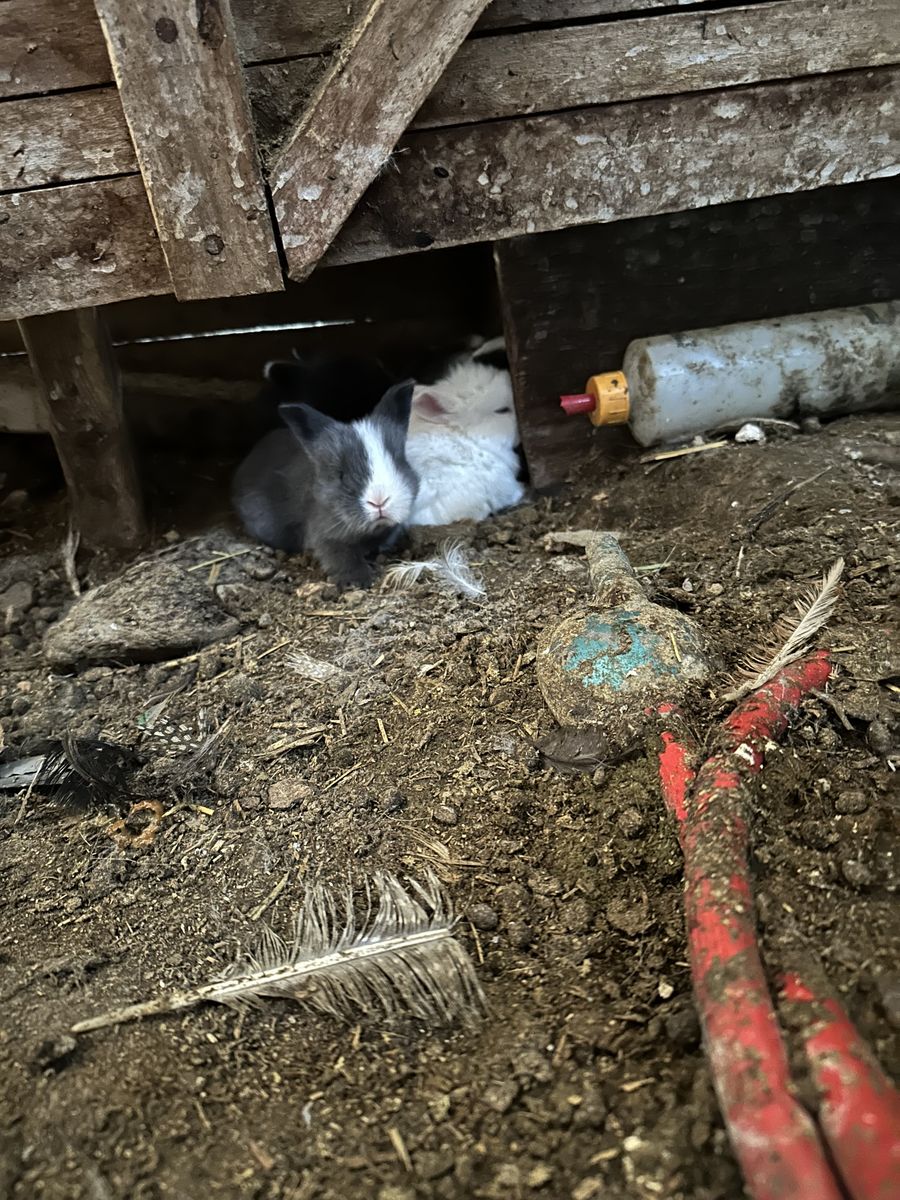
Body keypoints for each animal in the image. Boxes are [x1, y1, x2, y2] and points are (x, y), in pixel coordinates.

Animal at [232, 381, 418, 590]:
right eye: (341, 475)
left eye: (399, 462)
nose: (379, 501)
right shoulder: (325, 537)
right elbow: (341, 558)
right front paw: (358, 580)